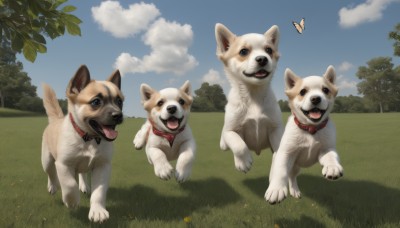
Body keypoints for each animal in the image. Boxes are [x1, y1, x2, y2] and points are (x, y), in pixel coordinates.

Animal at [41, 65, 123, 223]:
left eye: (119, 102)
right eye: (96, 102)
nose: (118, 115)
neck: (89, 138)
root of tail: (56, 120)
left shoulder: (103, 166)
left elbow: (99, 191)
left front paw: (97, 211)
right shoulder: (63, 164)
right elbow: (69, 184)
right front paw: (71, 201)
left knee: (82, 173)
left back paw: (84, 186)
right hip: (46, 160)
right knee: (50, 173)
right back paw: (52, 186)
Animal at [216, 23, 284, 173]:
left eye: (269, 50)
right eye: (243, 52)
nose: (262, 58)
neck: (253, 95)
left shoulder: (276, 129)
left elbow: (280, 150)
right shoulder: (231, 130)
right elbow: (238, 144)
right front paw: (243, 162)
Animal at [266, 65, 344, 204]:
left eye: (325, 90)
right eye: (302, 92)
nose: (315, 98)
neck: (310, 129)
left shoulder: (326, 149)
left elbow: (331, 156)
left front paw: (332, 167)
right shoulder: (286, 153)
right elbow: (281, 171)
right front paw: (276, 189)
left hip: (297, 168)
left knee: (292, 177)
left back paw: (294, 190)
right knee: (281, 173)